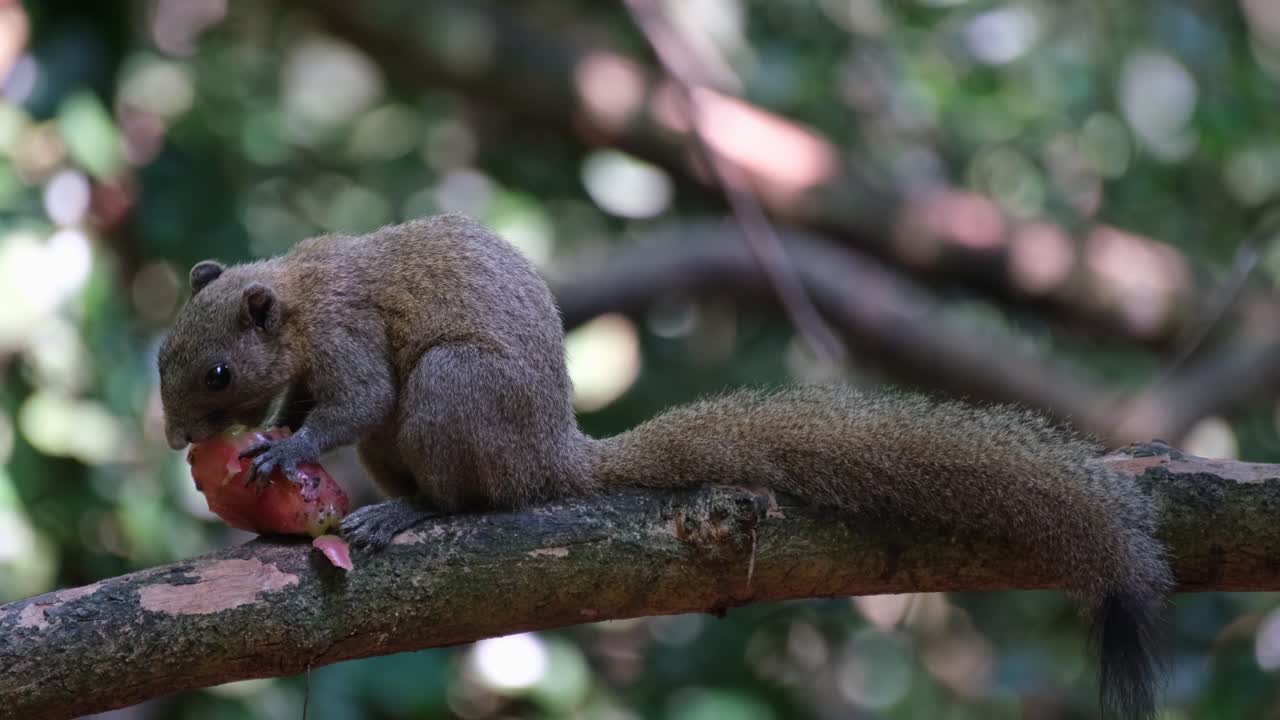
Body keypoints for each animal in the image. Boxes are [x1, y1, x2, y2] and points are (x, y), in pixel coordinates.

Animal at [158, 213, 1172, 719]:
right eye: (165, 352)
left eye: (216, 373)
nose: (175, 441)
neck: (297, 293)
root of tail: (554, 458)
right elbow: (311, 403)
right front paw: (276, 443)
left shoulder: (350, 335)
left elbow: (355, 401)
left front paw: (284, 450)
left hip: (452, 391)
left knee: (471, 497)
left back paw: (409, 515)